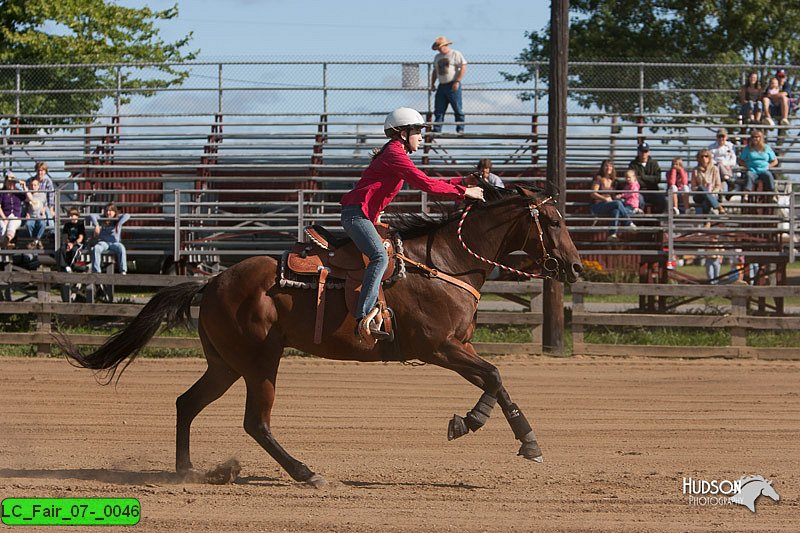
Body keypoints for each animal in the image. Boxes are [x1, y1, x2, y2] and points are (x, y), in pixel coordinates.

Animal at [59, 184, 580, 486]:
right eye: (554, 222)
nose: (575, 267)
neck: (445, 262)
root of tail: (213, 280)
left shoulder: (459, 346)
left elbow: (496, 379)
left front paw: (514, 437)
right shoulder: (440, 348)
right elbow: (493, 375)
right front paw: (478, 426)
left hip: (226, 364)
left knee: (187, 403)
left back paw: (189, 471)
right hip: (260, 363)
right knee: (255, 423)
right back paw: (305, 473)